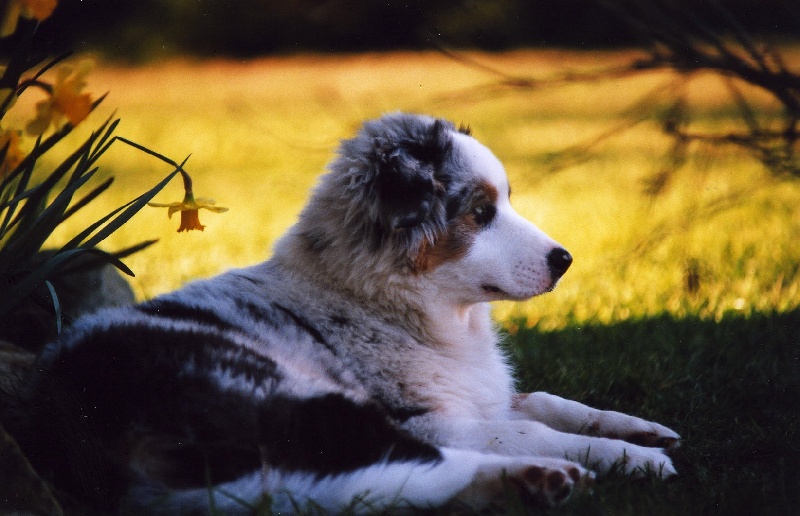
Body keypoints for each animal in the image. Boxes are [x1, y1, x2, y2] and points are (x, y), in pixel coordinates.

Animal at [9, 113, 680, 512]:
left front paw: (640, 429)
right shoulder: (429, 417)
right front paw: (636, 457)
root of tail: (65, 421)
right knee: (408, 467)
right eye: (480, 212)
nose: (565, 260)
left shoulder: (481, 397)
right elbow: (531, 427)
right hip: (294, 401)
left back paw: (528, 484)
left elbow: (546, 401)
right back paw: (543, 475)